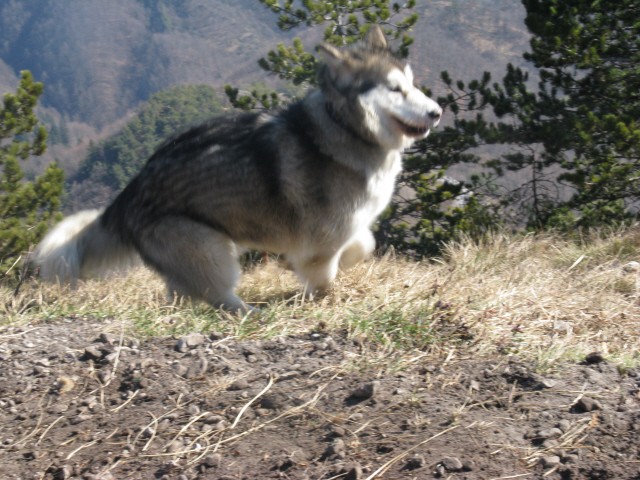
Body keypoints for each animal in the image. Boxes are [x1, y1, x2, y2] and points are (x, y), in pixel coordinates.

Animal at [35, 26, 442, 312]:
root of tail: (126, 196)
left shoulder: (344, 228)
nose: (437, 112)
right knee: (217, 295)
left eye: (412, 84)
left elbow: (364, 244)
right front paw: (326, 298)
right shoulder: (321, 239)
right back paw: (248, 312)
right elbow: (323, 274)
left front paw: (346, 264)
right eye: (395, 89)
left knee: (182, 293)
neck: (345, 128)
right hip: (211, 250)